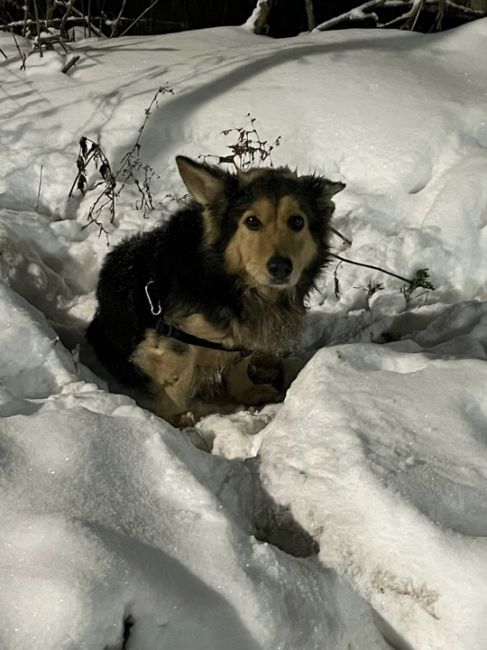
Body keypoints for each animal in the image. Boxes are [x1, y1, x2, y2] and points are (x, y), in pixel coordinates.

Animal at [87, 156, 346, 426]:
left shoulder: (241, 336)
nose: (281, 268)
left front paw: (247, 390)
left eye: (297, 221)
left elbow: (239, 363)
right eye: (252, 221)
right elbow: (176, 382)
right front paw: (176, 421)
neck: (226, 278)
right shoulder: (170, 338)